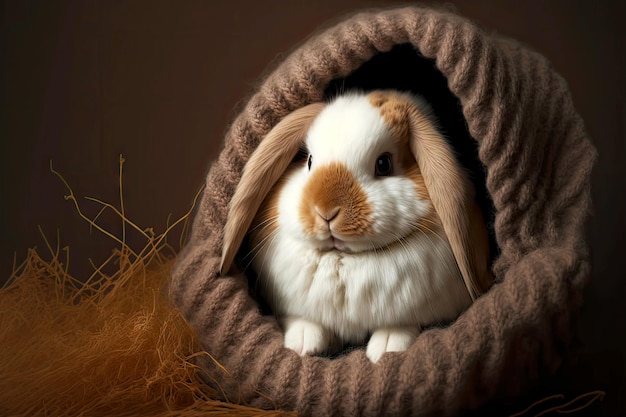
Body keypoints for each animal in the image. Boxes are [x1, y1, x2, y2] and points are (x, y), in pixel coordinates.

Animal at [221, 90, 492, 360]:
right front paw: (302, 343)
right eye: (308, 160)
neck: (344, 261)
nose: (326, 212)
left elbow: (403, 324)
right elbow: (303, 320)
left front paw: (385, 348)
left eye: (384, 164)